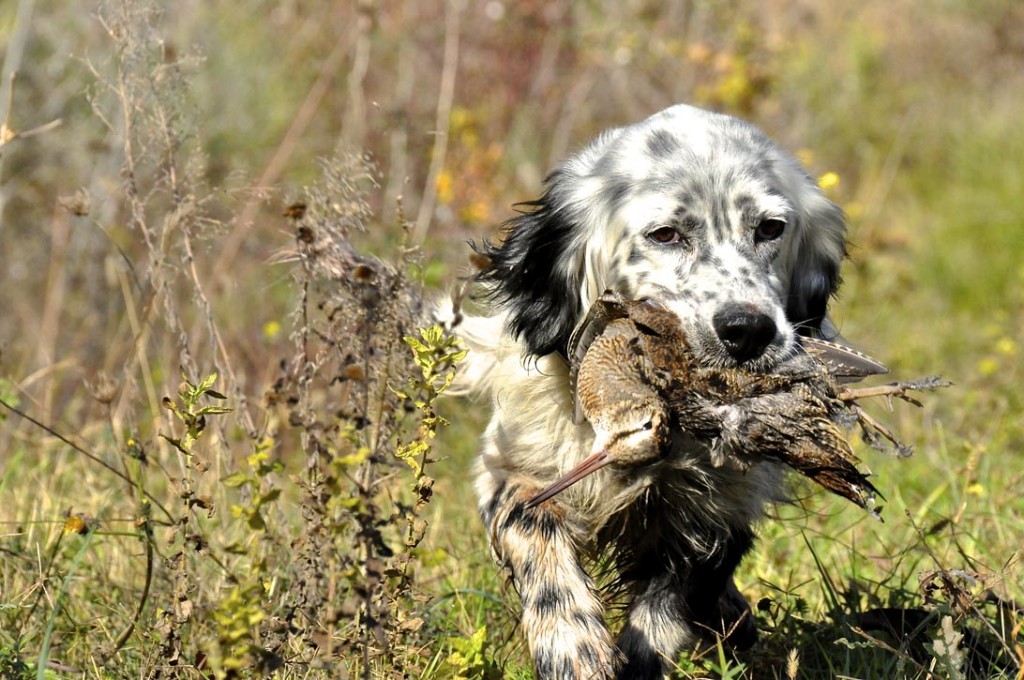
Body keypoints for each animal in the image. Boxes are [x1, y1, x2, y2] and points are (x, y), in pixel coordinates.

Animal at [448, 103, 847, 675]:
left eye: (771, 228)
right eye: (664, 235)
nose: (748, 330)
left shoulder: (720, 510)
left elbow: (671, 601)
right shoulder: (511, 470)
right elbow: (533, 529)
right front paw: (572, 645)